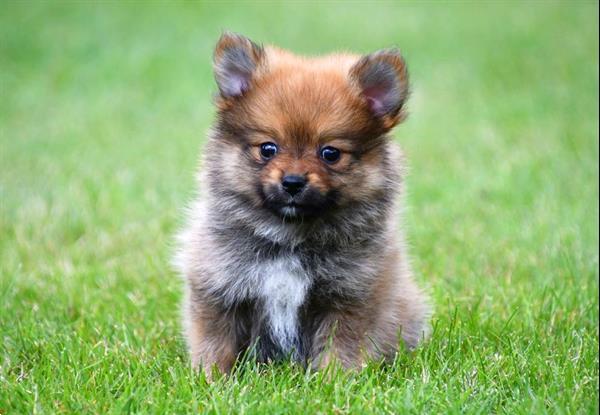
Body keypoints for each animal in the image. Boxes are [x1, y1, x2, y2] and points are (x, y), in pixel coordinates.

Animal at [175, 32, 432, 376]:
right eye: (268, 149)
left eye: (330, 153)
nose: (293, 182)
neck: (289, 240)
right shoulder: (218, 287)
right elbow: (216, 343)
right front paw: (211, 378)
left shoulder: (349, 296)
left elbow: (341, 348)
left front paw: (334, 381)